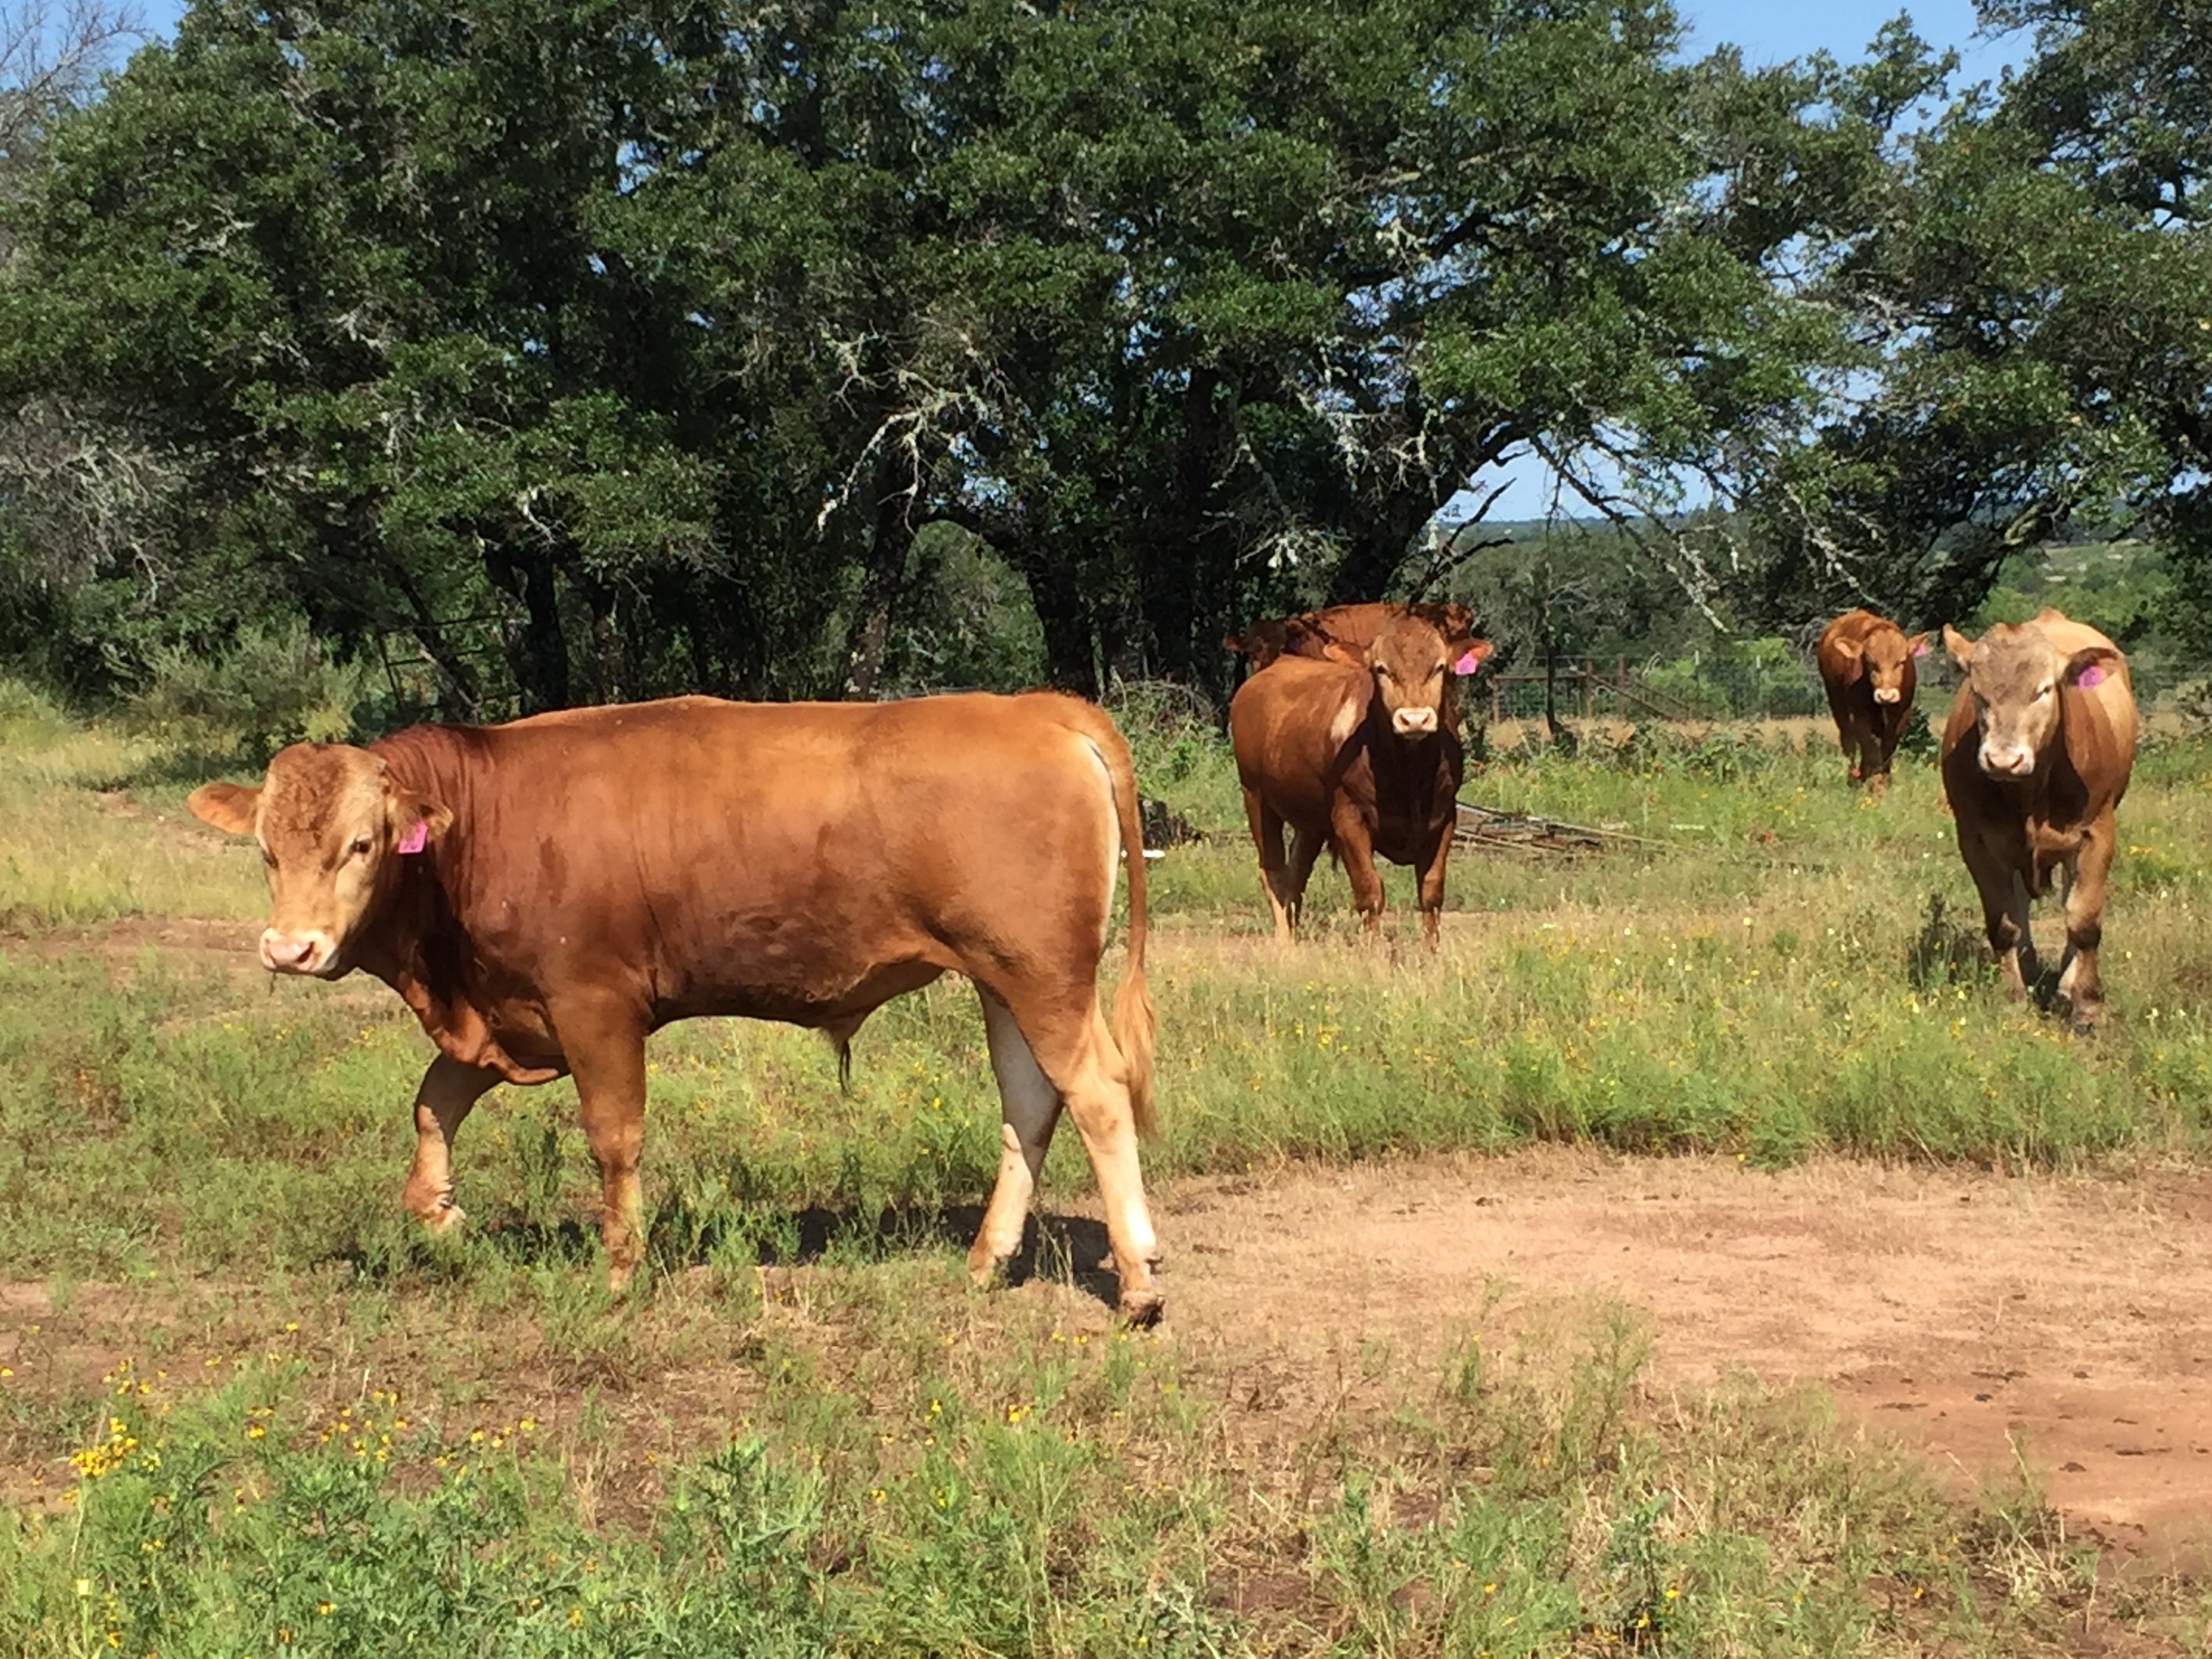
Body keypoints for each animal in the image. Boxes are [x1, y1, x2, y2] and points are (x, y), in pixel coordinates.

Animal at [186, 695, 1177, 1336]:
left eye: (362, 843)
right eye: (265, 849)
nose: (291, 948)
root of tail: (1037, 707)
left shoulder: (592, 1004)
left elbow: (612, 1138)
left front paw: (620, 1269)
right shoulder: (505, 1010)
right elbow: (432, 1101)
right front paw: (441, 1213)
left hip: (1043, 977)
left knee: (1096, 1096)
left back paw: (1136, 1280)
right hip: (1003, 979)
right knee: (1029, 1103)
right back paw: (986, 1259)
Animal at [1221, 606, 1495, 947]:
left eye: (1440, 667)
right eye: (1381, 669)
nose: (1414, 719)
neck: (1409, 773)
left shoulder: (1444, 818)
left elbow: (1431, 893)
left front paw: (1431, 952)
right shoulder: (1349, 819)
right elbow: (1369, 892)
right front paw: (1372, 951)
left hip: (1310, 819)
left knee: (1296, 872)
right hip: (1256, 797)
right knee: (1272, 869)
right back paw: (1284, 942)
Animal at [1823, 606, 1929, 796]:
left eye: (1901, 662)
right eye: (1871, 662)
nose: (1886, 696)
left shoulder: (1902, 714)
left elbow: (1887, 748)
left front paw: (1884, 781)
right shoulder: (1859, 714)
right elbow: (1870, 747)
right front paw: (1874, 785)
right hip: (1837, 703)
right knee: (1849, 742)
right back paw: (1854, 777)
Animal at [1947, 606, 2132, 1026]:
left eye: (2044, 690)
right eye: (1977, 693)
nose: (2003, 760)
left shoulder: (2098, 833)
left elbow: (2083, 921)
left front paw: (2086, 1003)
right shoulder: (1975, 840)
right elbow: (2003, 922)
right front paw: (2013, 996)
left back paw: (2066, 981)